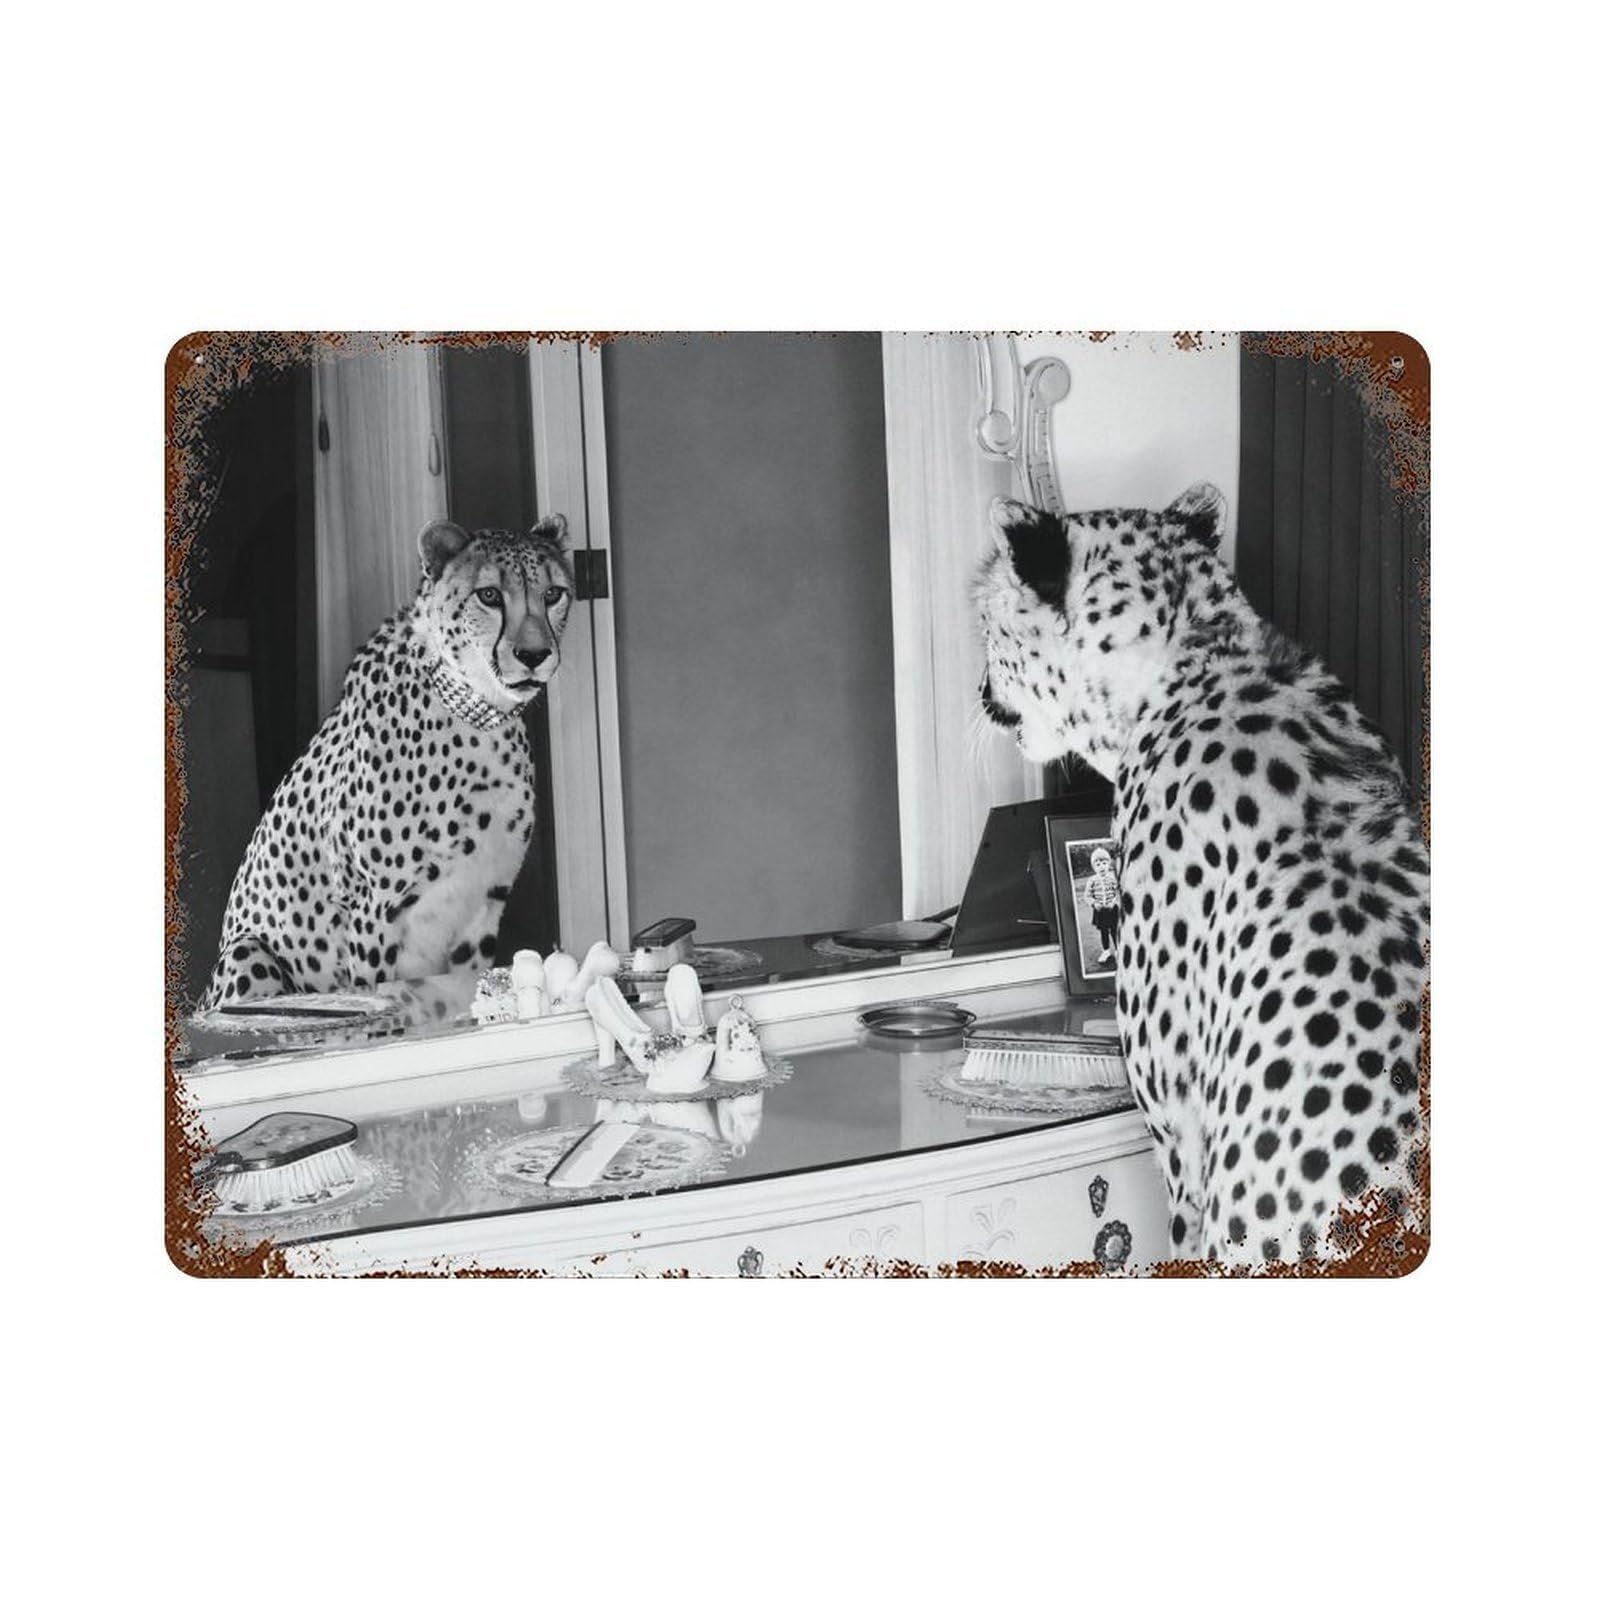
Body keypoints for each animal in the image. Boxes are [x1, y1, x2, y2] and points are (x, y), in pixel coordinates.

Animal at [200, 516, 575, 1009]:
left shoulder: (484, 903)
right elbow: (376, 990)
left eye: (554, 594)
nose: (534, 656)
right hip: (248, 951)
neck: (475, 713)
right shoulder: (372, 905)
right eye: (490, 595)